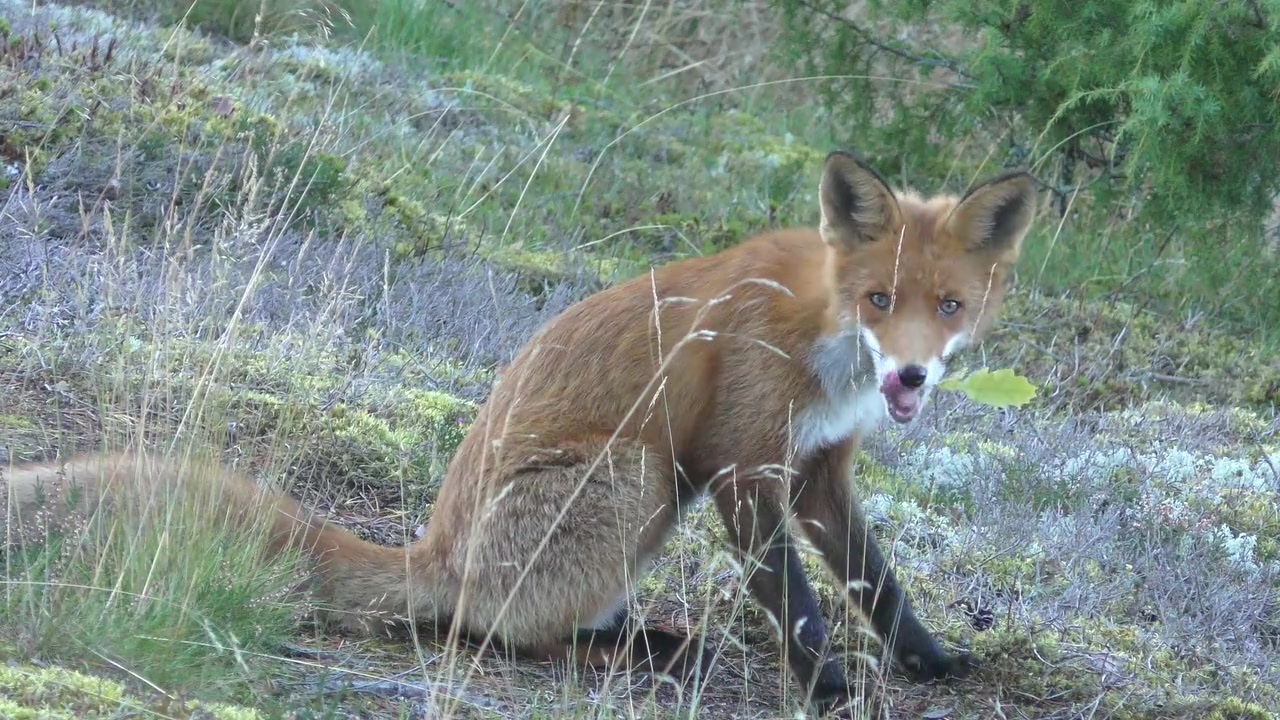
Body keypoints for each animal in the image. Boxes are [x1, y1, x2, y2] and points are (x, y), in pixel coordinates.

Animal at [0, 149, 1034, 712]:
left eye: (948, 306)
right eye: (879, 300)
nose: (908, 375)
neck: (824, 332)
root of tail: (437, 549)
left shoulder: (820, 465)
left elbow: (878, 584)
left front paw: (929, 661)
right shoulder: (739, 465)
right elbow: (802, 605)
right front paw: (827, 689)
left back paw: (644, 638)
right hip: (638, 475)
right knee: (497, 629)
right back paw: (636, 649)